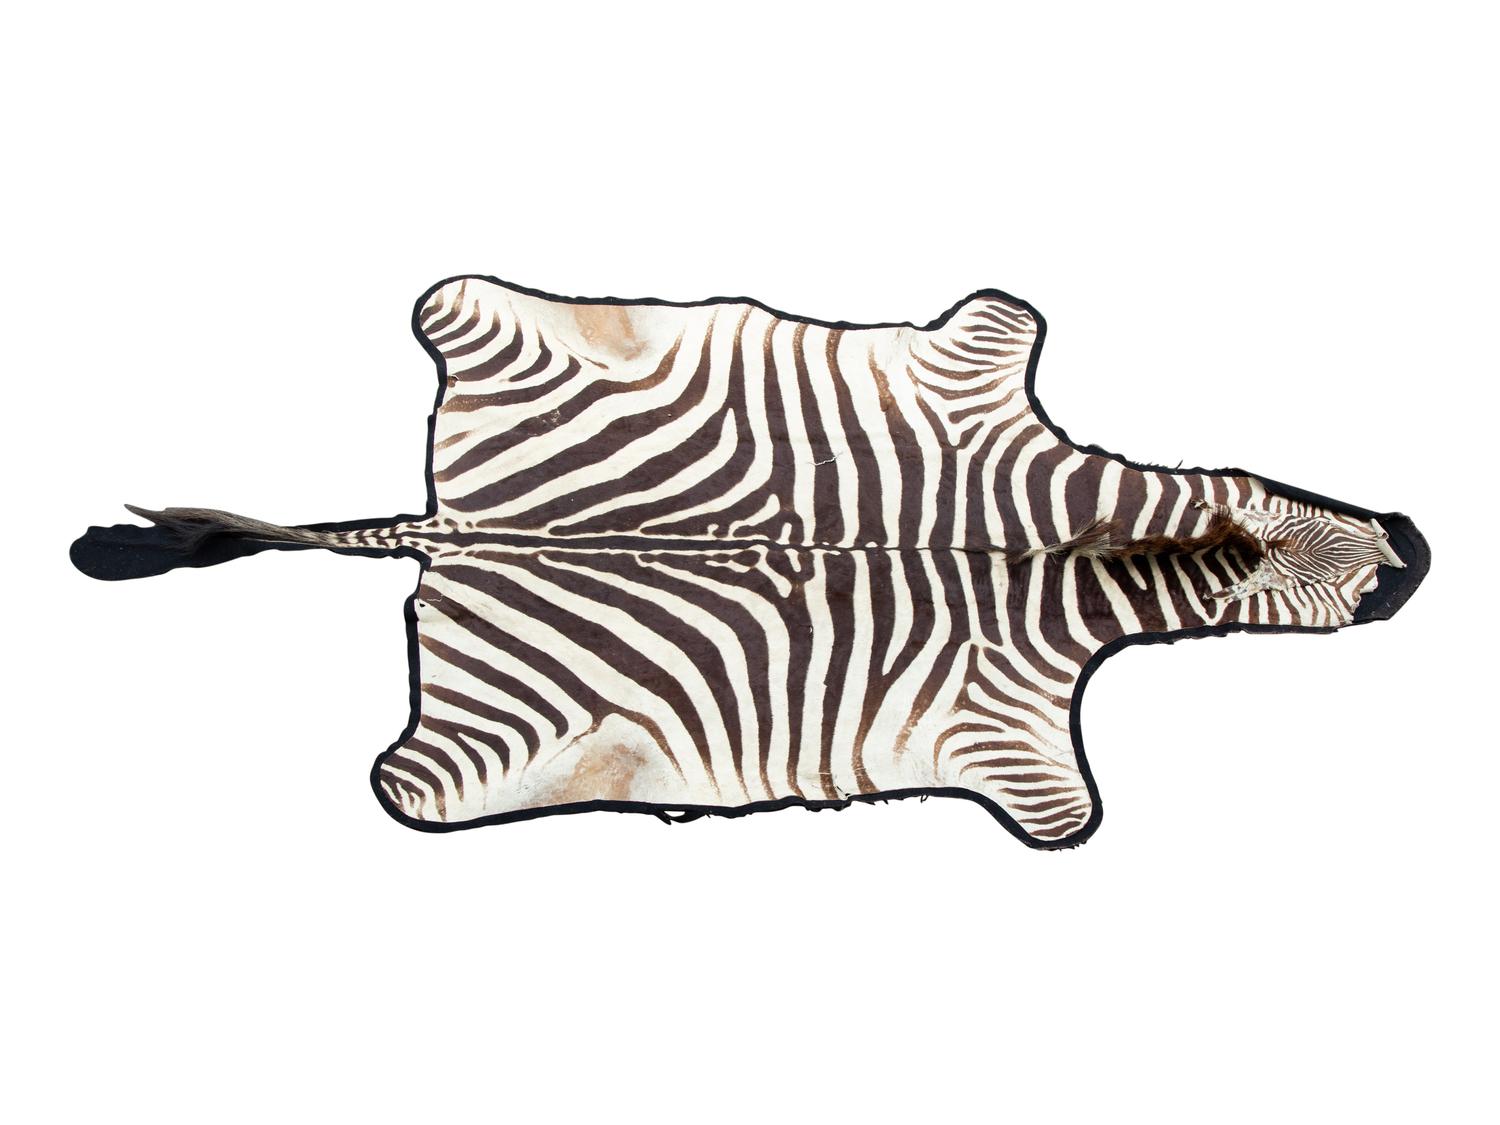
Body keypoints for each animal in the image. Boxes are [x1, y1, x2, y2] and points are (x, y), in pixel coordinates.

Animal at [72, 275, 1428, 847]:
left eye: (1271, 491)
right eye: (1271, 568)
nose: (1412, 551)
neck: (1068, 553)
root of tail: (454, 527)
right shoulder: (1015, 731)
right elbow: (1065, 809)